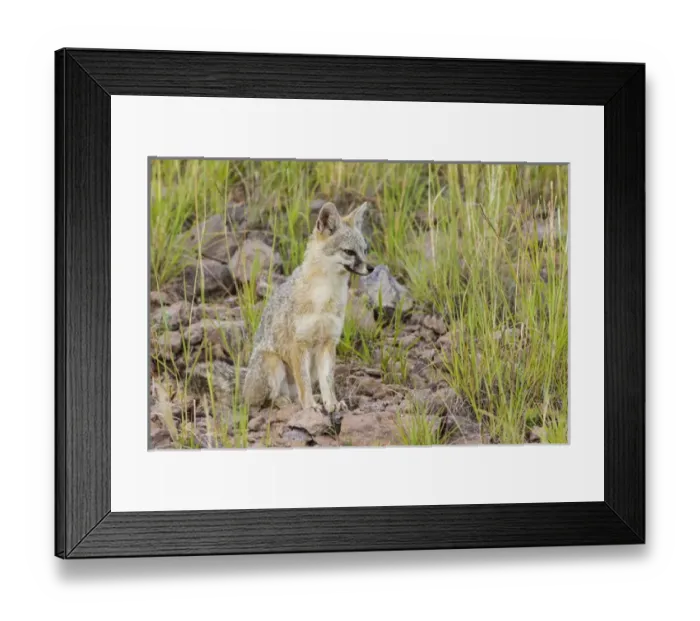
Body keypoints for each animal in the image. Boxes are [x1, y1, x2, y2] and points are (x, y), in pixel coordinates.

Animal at [242, 201, 373, 414]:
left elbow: (327, 381)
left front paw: (332, 403)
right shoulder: (298, 344)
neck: (324, 297)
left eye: (364, 250)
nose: (371, 268)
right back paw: (283, 401)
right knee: (267, 400)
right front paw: (310, 406)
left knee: (296, 393)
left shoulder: (328, 342)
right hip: (273, 362)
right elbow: (303, 383)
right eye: (349, 252)